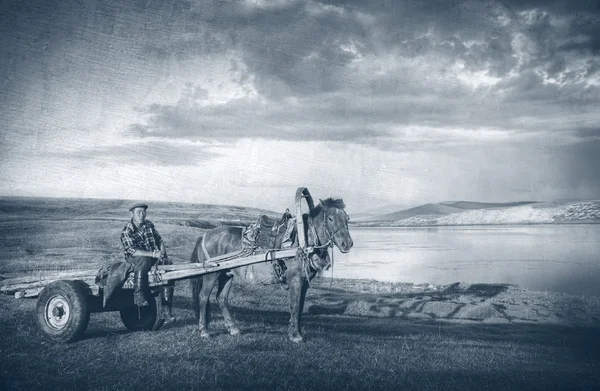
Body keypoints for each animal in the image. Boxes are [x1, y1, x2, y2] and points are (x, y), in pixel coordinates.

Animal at [190, 199, 354, 344]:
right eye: (331, 218)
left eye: (347, 218)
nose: (347, 244)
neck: (302, 242)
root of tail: (205, 235)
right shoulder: (295, 280)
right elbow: (295, 306)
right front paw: (296, 336)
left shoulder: (305, 283)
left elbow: (300, 307)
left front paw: (295, 332)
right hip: (211, 275)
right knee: (203, 297)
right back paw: (204, 331)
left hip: (226, 274)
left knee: (222, 298)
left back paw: (233, 329)